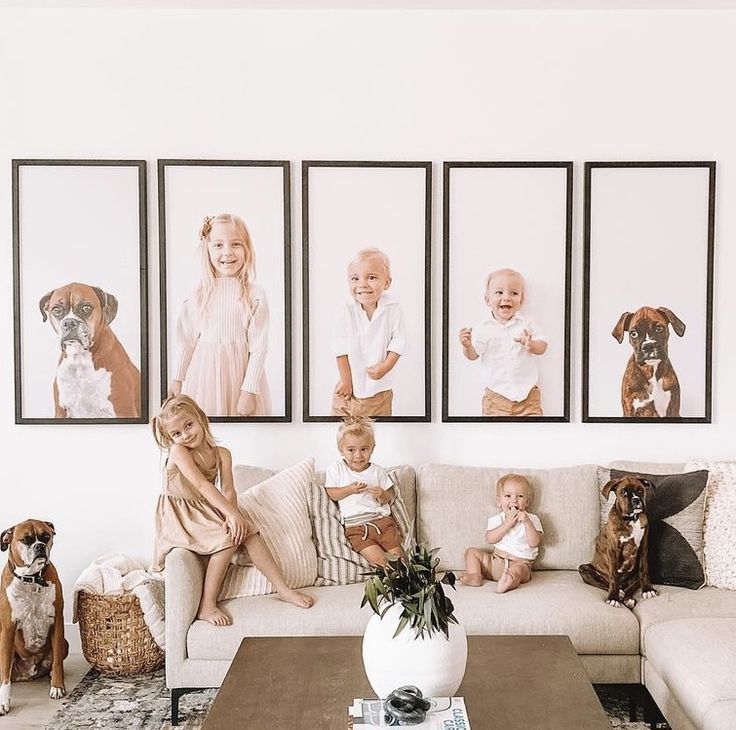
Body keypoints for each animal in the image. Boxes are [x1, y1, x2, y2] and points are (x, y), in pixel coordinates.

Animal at [40, 282, 142, 418]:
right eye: (56, 310)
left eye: (86, 308)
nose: (69, 322)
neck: (79, 360)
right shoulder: (61, 412)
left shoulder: (124, 412)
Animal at [576, 478, 660, 608]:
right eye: (623, 492)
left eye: (640, 490)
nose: (636, 499)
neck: (631, 519)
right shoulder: (613, 550)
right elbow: (613, 576)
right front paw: (613, 598)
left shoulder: (643, 546)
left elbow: (644, 568)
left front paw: (648, 589)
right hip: (584, 569)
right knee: (604, 583)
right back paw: (619, 593)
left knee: (632, 584)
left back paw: (628, 598)